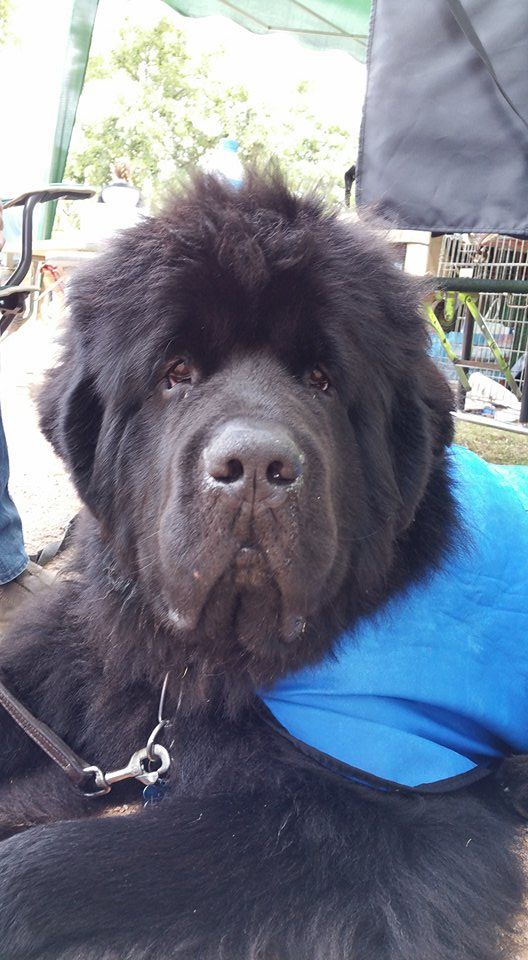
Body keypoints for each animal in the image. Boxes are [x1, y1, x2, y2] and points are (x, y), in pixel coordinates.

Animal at [0, 174, 524, 960]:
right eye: (175, 375)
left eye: (323, 380)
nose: (253, 465)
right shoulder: (84, 648)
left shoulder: (377, 810)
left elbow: (61, 865)